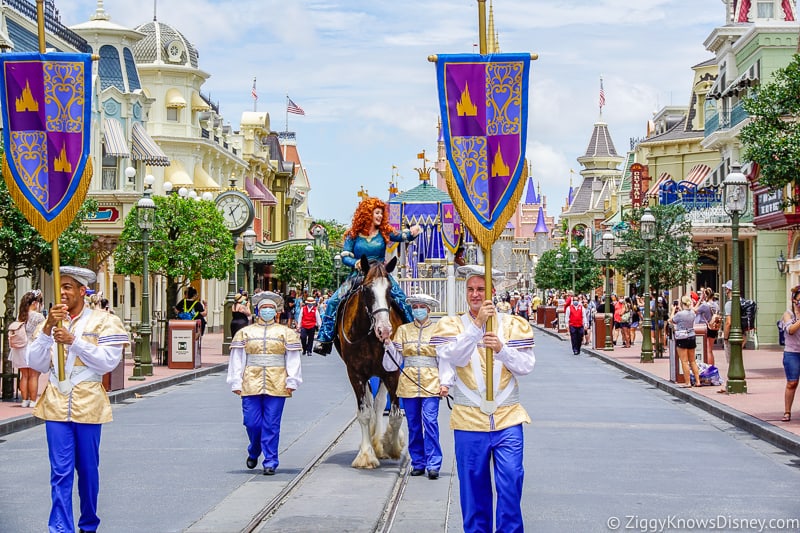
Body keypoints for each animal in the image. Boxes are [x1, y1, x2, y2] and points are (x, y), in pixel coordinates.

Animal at [334, 256, 406, 468]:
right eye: (367, 290)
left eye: (389, 289)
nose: (385, 329)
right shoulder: (355, 373)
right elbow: (364, 413)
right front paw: (366, 455)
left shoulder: (392, 372)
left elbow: (395, 415)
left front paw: (391, 446)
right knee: (370, 403)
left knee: (380, 403)